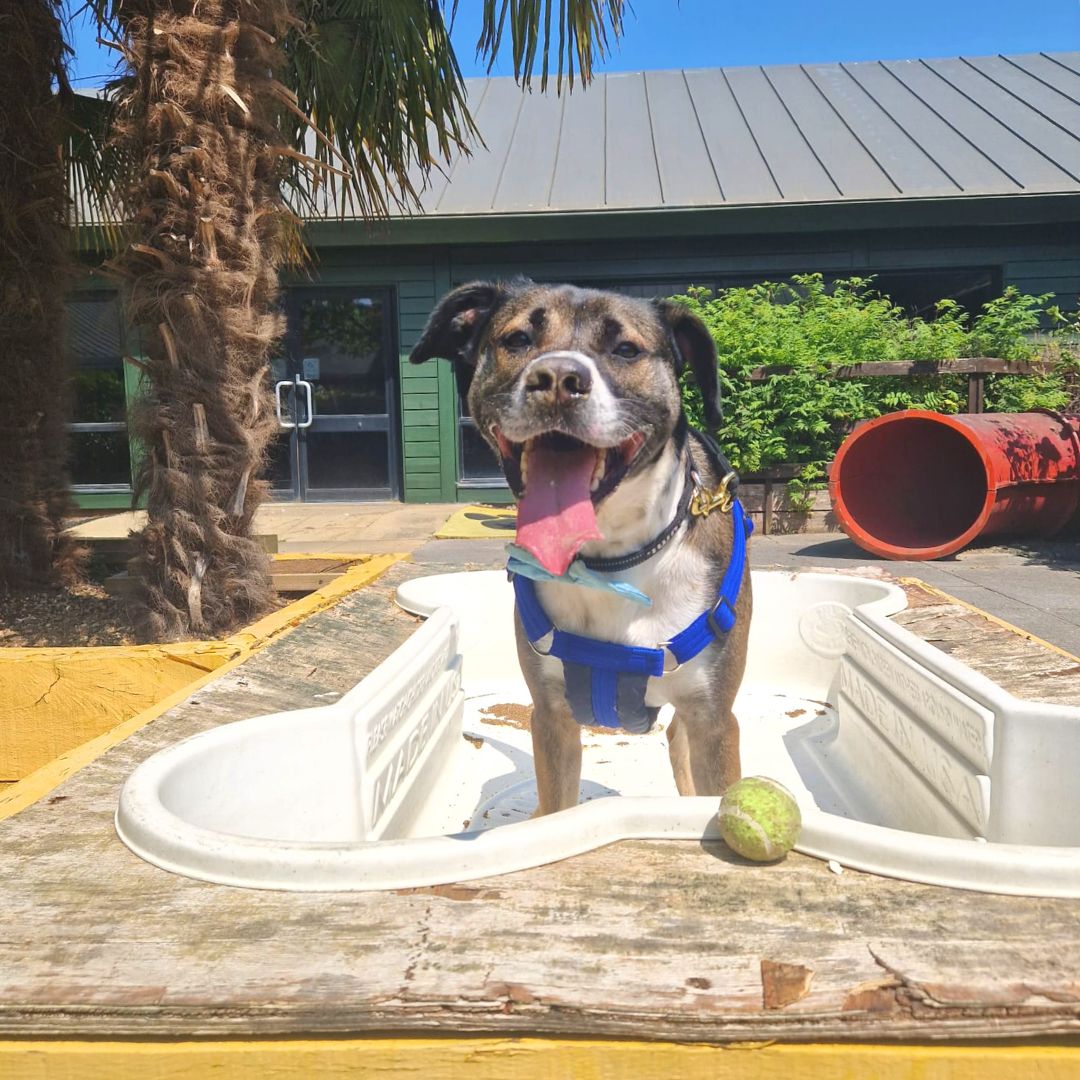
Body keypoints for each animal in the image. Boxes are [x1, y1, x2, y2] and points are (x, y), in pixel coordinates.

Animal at [408, 282, 747, 812]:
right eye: (518, 339)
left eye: (625, 349)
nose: (557, 379)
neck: (609, 561)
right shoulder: (551, 716)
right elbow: (556, 805)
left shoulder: (713, 718)